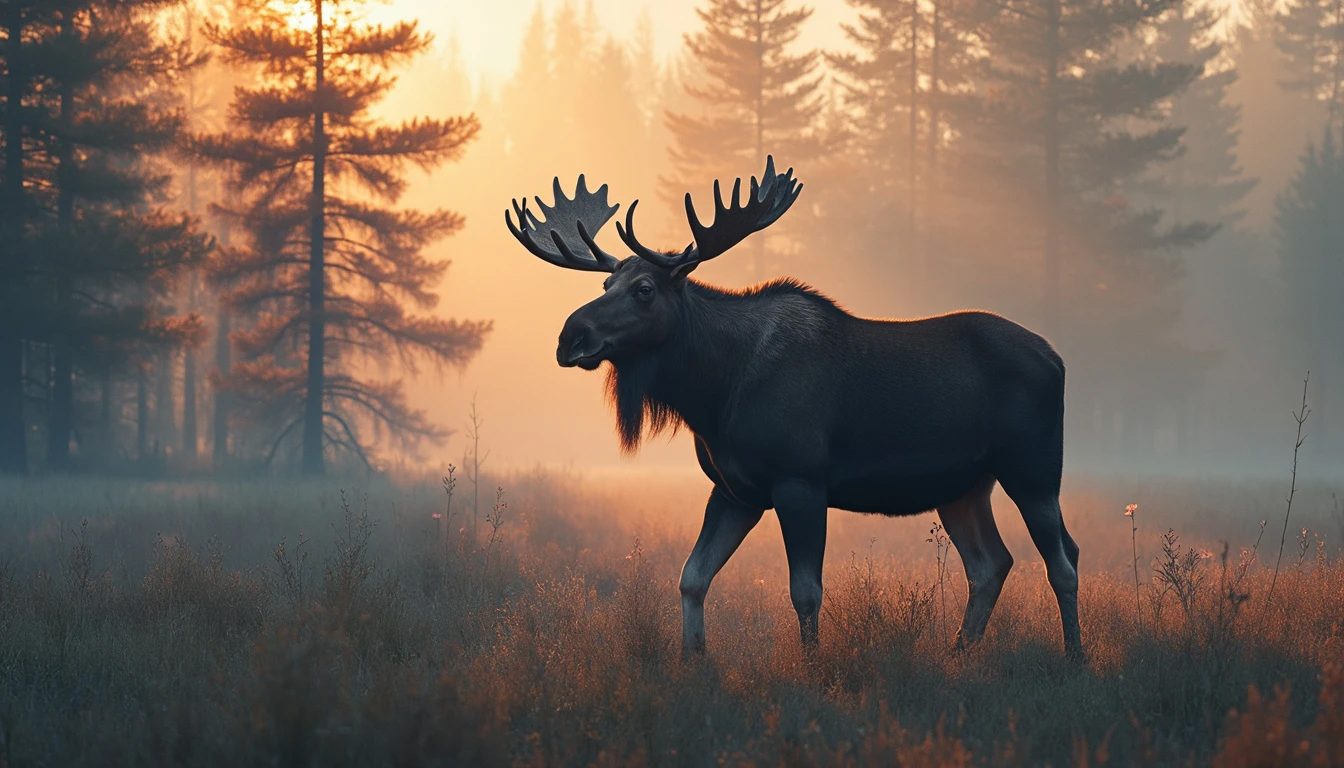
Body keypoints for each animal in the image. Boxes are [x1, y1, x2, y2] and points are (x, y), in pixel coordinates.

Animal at [505, 156, 1080, 661]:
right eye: (606, 283)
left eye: (644, 289)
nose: (570, 337)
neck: (714, 394)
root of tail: (1056, 358)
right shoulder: (734, 489)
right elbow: (692, 577)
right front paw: (693, 659)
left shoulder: (800, 480)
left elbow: (805, 590)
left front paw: (812, 666)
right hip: (962, 486)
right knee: (990, 564)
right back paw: (959, 655)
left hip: (1033, 469)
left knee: (1063, 559)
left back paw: (1074, 658)